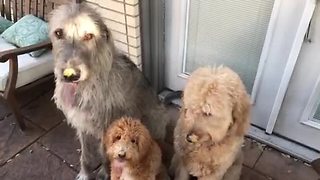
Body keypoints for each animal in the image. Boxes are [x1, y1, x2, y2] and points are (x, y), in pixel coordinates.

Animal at [49, 2, 169, 180]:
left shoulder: (107, 125)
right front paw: (85, 173)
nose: (71, 75)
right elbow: (85, 154)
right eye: (58, 33)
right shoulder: (81, 123)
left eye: (89, 36)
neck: (87, 85)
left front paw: (105, 172)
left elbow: (105, 153)